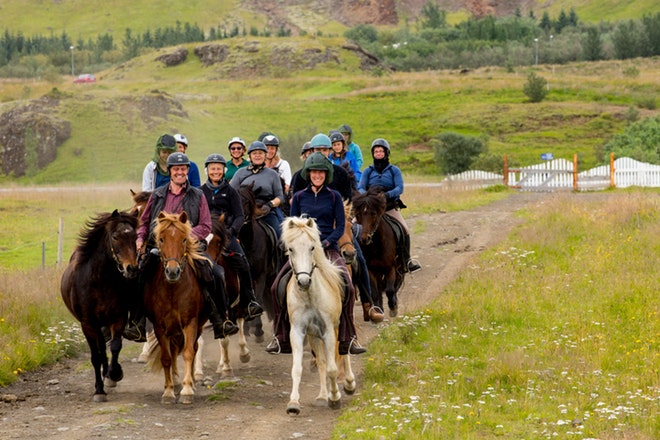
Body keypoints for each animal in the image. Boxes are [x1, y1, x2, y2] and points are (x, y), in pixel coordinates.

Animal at [61, 210, 141, 402]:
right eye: (115, 236)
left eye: (135, 236)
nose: (132, 269)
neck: (100, 281)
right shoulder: (88, 324)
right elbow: (95, 357)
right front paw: (99, 390)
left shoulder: (118, 318)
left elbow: (115, 346)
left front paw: (114, 373)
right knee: (100, 349)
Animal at [144, 211, 209, 404]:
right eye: (161, 239)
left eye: (184, 239)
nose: (173, 272)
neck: (173, 289)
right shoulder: (160, 326)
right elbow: (166, 358)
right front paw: (168, 391)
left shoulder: (190, 322)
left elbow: (188, 352)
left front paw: (187, 391)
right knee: (173, 352)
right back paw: (176, 380)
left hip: (197, 326)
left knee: (194, 347)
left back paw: (191, 382)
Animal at [236, 184, 280, 342]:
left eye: (246, 201)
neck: (249, 243)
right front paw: (248, 329)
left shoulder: (261, 275)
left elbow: (259, 300)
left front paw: (259, 330)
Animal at [282, 217, 358, 416]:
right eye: (291, 249)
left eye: (312, 248)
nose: (303, 281)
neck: (309, 295)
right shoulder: (298, 331)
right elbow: (298, 368)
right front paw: (293, 403)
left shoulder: (329, 331)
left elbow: (332, 368)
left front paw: (335, 397)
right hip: (313, 335)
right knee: (323, 361)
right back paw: (323, 396)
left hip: (340, 326)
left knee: (344, 350)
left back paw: (349, 384)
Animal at [354, 187, 404, 318]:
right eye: (358, 214)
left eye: (374, 214)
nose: (364, 238)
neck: (376, 245)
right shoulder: (370, 269)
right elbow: (375, 292)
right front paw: (378, 310)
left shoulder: (390, 267)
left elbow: (390, 290)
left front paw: (393, 308)